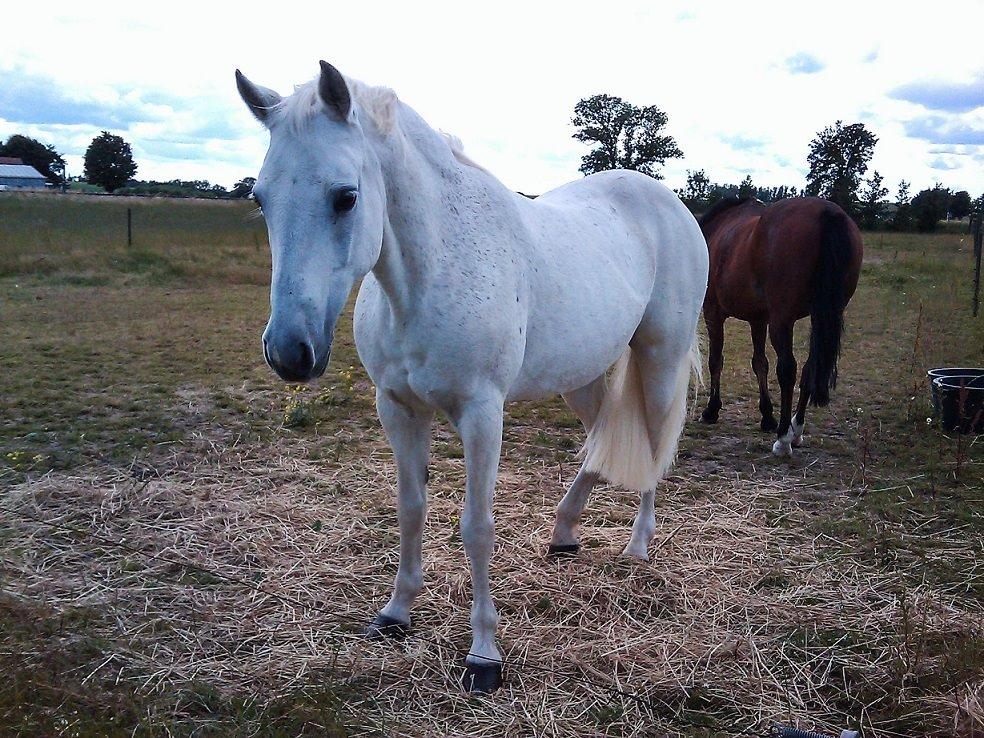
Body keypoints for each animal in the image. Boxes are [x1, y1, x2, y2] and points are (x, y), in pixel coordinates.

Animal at [236, 61, 708, 688]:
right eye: (260, 199)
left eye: (345, 197)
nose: (290, 352)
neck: (428, 274)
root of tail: (669, 202)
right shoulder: (397, 408)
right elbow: (411, 509)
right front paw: (396, 614)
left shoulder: (482, 414)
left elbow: (476, 526)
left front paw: (484, 654)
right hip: (583, 376)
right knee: (598, 442)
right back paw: (564, 533)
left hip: (659, 360)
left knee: (654, 445)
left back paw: (636, 547)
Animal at [700, 193, 860, 452]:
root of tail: (827, 212)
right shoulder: (758, 319)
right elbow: (759, 363)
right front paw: (767, 416)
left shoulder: (713, 313)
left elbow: (716, 361)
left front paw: (711, 410)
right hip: (819, 316)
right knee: (808, 367)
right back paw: (796, 429)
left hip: (782, 321)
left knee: (788, 369)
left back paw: (784, 438)